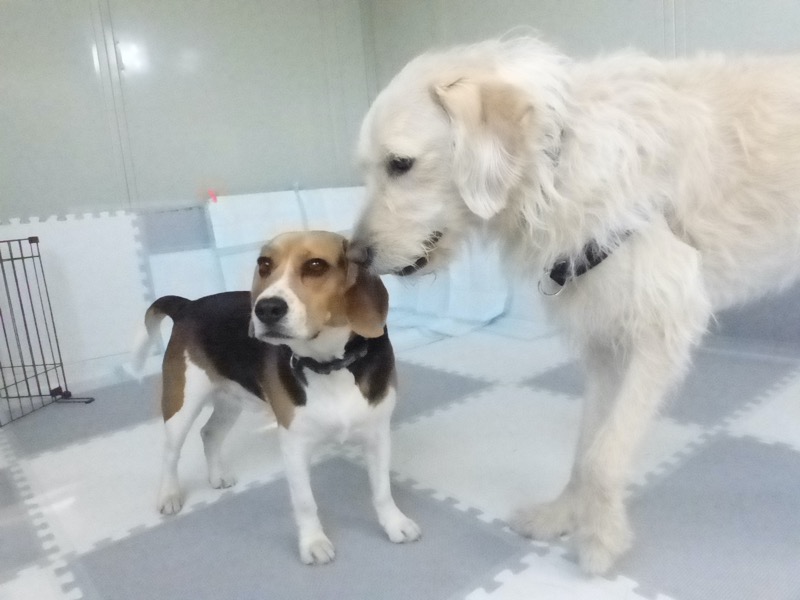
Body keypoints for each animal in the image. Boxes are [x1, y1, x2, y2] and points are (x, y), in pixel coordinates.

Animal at [134, 231, 421, 565]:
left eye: (316, 265)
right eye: (264, 264)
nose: (266, 308)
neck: (330, 365)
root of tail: (188, 305)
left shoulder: (378, 435)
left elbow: (382, 490)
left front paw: (395, 524)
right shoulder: (294, 445)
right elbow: (305, 502)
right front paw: (313, 543)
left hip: (231, 398)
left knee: (209, 433)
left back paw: (217, 476)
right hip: (182, 401)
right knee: (171, 452)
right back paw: (169, 496)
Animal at [348, 36, 800, 575]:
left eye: (400, 164)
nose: (354, 256)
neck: (557, 162)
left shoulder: (661, 327)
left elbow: (604, 456)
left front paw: (601, 540)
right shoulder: (604, 338)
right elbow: (585, 448)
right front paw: (561, 516)